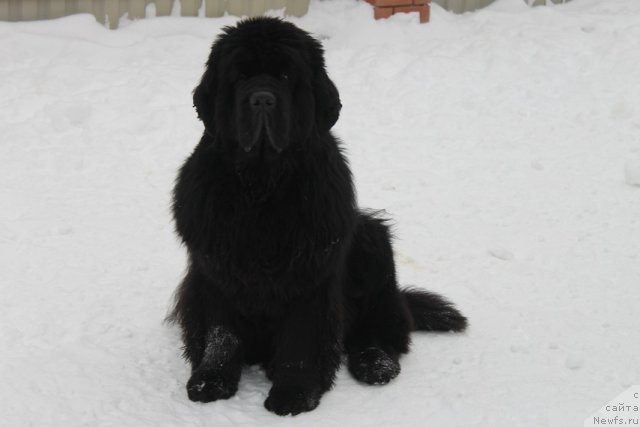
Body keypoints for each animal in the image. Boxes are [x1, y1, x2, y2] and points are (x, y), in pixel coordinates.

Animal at [170, 18, 468, 416]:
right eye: (240, 76)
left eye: (284, 75)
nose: (261, 99)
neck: (262, 185)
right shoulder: (217, 270)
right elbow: (222, 333)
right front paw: (211, 380)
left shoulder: (310, 276)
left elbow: (302, 339)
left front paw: (295, 393)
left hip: (371, 243)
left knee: (376, 329)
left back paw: (375, 364)